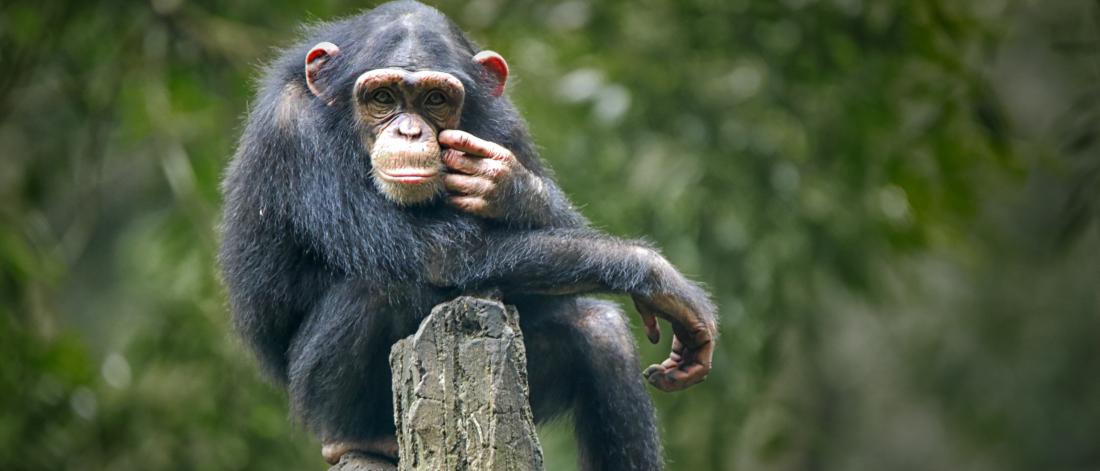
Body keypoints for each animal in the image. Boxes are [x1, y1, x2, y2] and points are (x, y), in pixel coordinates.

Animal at [221, 1, 721, 468]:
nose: (409, 130)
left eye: (435, 99)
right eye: (382, 97)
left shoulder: (505, 124)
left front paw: (513, 189)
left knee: (602, 335)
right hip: (313, 401)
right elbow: (437, 256)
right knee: (378, 287)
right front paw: (658, 276)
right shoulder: (296, 132)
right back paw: (358, 438)